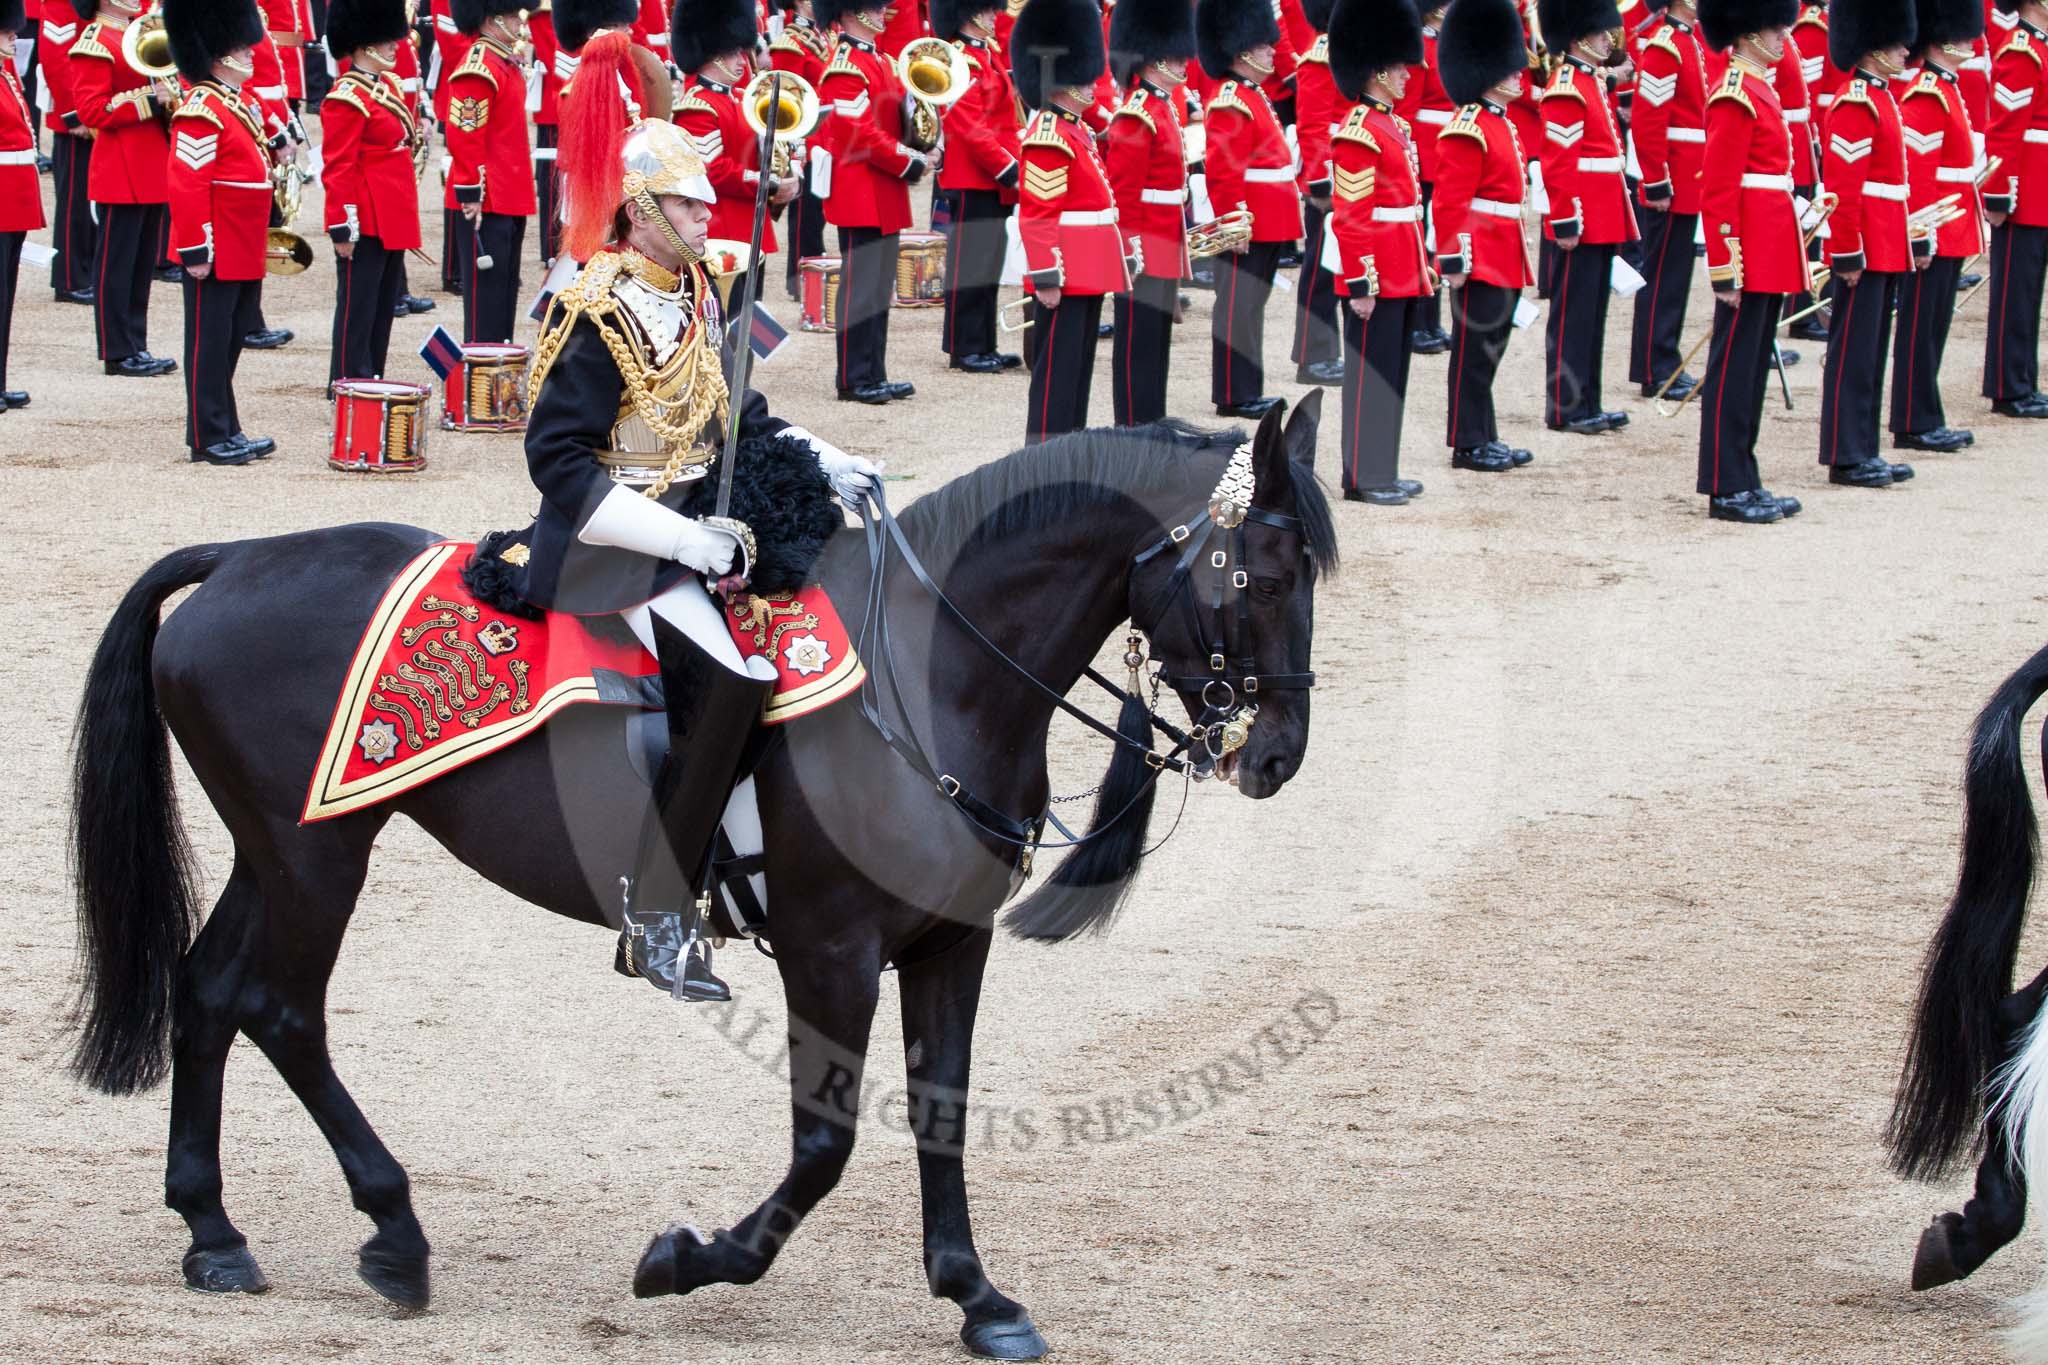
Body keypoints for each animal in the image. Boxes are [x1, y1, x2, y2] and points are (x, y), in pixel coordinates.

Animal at [66, 399, 1335, 1360]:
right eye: (1266, 577)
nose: (1277, 756)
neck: (930, 682)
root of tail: (238, 559)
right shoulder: (830, 951)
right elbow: (824, 1144)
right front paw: (689, 1260)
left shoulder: (947, 943)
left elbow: (941, 1110)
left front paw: (977, 1297)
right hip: (319, 854)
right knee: (279, 1009)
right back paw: (394, 1232)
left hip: (283, 847)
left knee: (208, 990)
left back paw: (213, 1232)